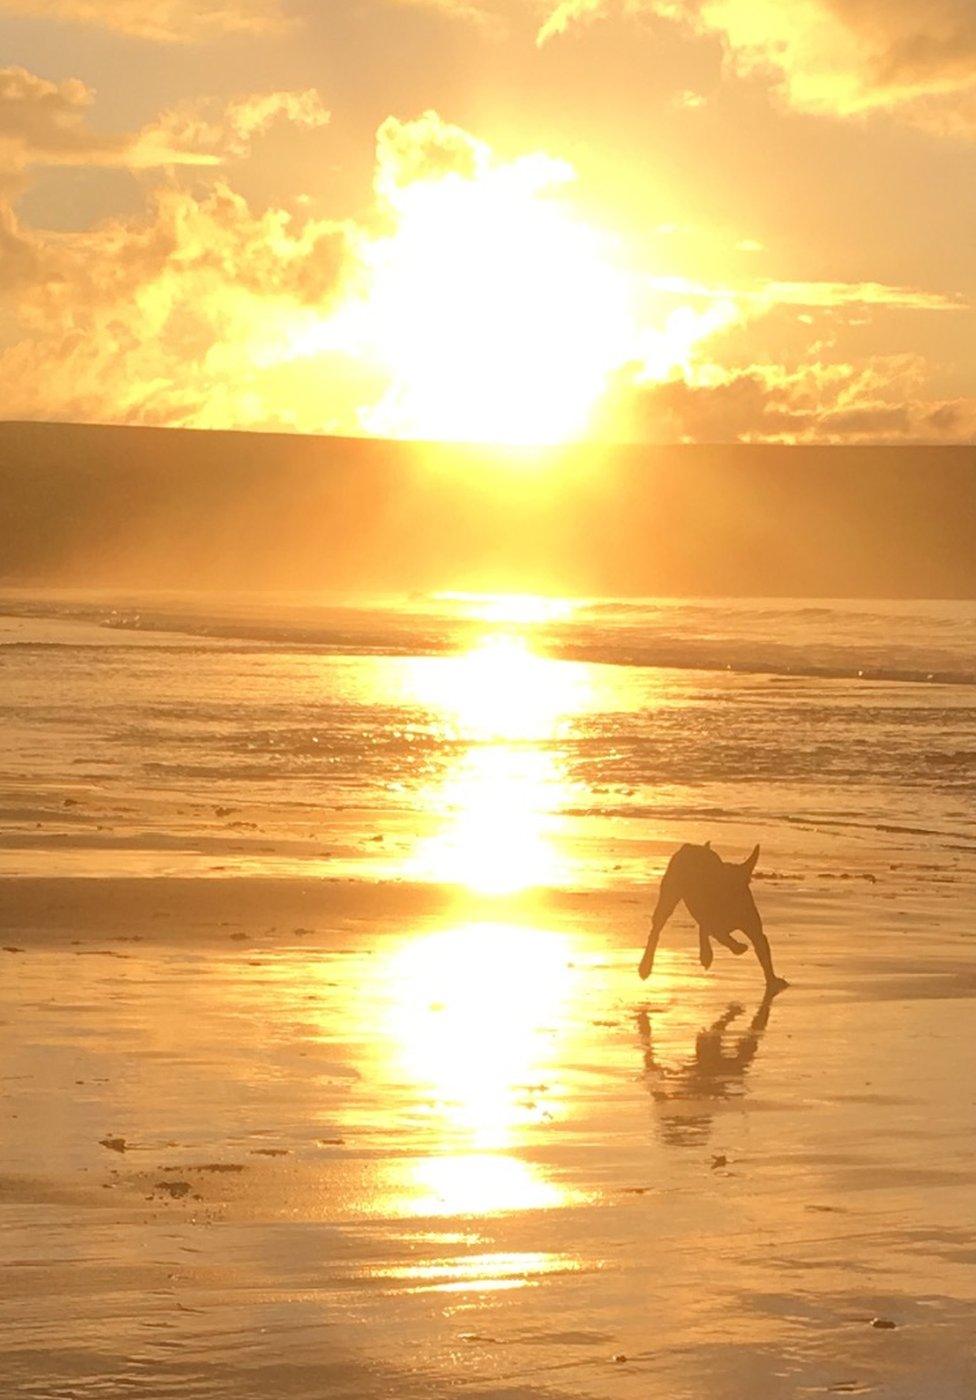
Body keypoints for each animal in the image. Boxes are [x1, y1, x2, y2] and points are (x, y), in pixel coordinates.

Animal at [638, 840, 784, 996]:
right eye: (717, 886)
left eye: (740, 888)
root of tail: (691, 847)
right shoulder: (715, 924)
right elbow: (722, 935)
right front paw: (738, 947)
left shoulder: (754, 929)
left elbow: (763, 953)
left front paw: (772, 980)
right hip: (669, 897)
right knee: (657, 928)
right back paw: (646, 965)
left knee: (703, 929)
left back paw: (705, 954)